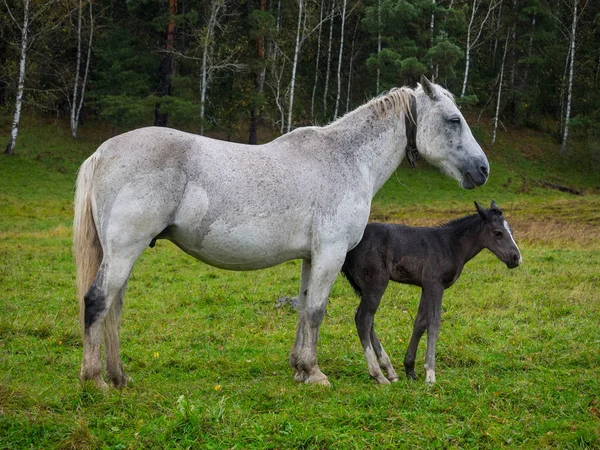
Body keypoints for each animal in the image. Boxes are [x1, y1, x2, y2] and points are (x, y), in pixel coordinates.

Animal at [74, 75, 488, 388]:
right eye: (453, 119)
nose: (482, 169)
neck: (347, 159)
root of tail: (102, 152)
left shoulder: (312, 257)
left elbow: (304, 307)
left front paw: (300, 368)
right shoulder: (331, 253)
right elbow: (318, 310)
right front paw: (316, 373)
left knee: (113, 309)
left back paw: (119, 377)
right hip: (124, 251)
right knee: (97, 303)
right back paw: (95, 380)